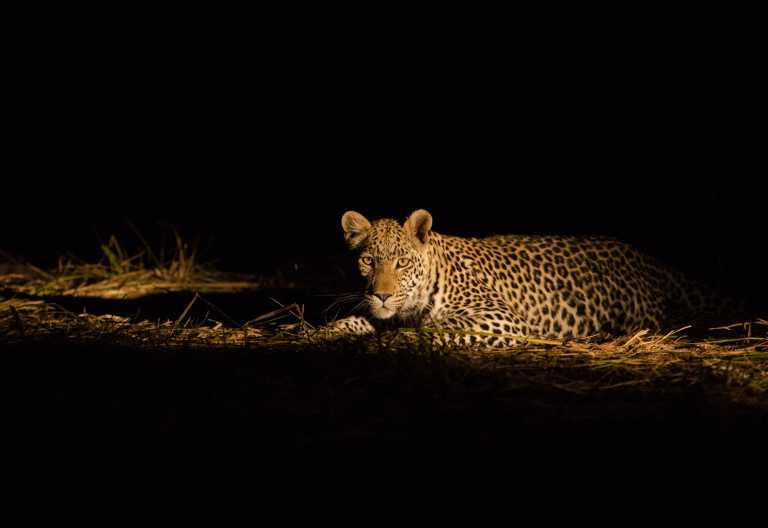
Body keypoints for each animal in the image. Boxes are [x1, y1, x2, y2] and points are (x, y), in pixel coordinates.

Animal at [327, 209, 739, 347]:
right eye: (368, 261)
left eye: (401, 263)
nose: (381, 295)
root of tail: (649, 259)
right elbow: (355, 321)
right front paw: (325, 334)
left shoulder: (499, 318)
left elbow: (434, 329)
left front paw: (387, 341)